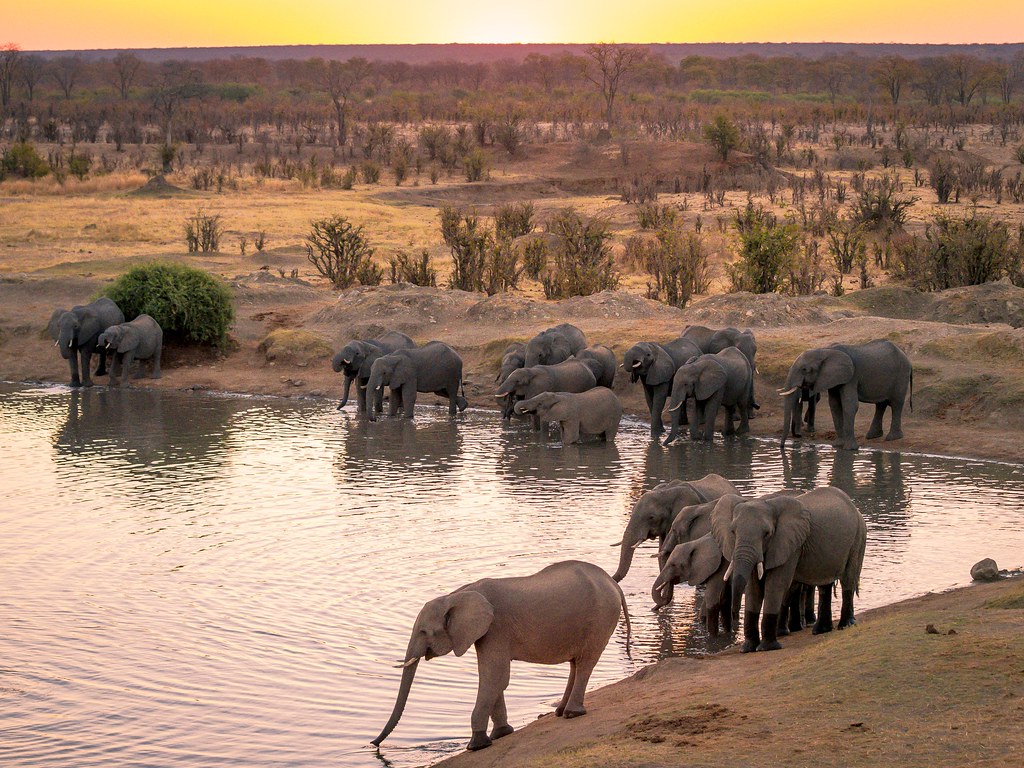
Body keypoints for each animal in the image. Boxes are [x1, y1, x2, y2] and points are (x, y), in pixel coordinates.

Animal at [371, 560, 630, 752]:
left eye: (424, 632)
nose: (374, 745)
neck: (457, 594)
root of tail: (613, 583)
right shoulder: (485, 632)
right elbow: (493, 678)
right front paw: (501, 734)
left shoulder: (496, 627)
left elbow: (494, 677)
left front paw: (476, 745)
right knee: (575, 663)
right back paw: (559, 711)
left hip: (602, 616)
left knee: (585, 662)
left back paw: (571, 714)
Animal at [710, 487, 867, 652]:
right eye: (733, 532)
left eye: (767, 534)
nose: (734, 617)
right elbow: (753, 588)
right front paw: (748, 649)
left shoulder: (790, 545)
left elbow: (776, 585)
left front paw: (767, 648)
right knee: (825, 585)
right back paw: (820, 630)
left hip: (858, 538)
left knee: (848, 579)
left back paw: (846, 625)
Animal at [779, 339, 912, 451]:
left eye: (804, 370)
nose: (782, 447)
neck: (825, 350)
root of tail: (908, 360)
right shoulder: (832, 378)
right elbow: (834, 405)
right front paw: (837, 446)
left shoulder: (851, 376)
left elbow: (850, 405)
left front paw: (849, 449)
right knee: (881, 404)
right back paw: (872, 436)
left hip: (901, 375)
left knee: (896, 403)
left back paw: (892, 438)